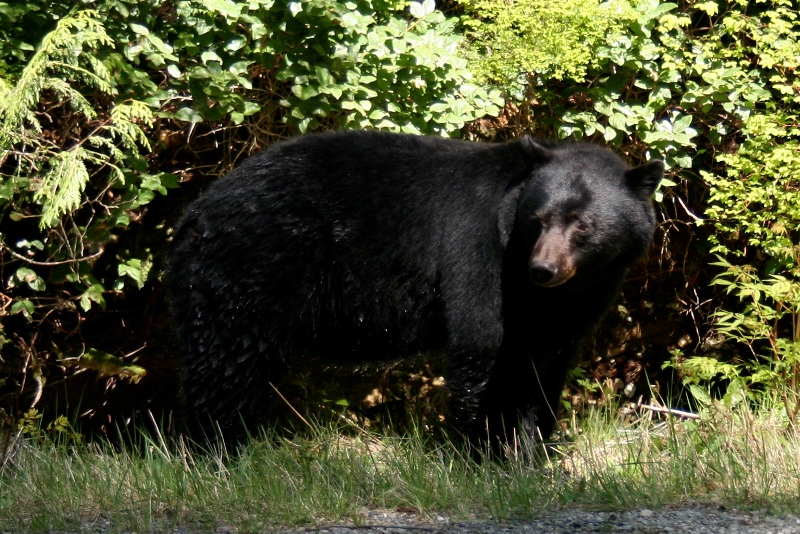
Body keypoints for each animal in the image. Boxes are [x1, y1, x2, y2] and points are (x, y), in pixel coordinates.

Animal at [167, 131, 664, 448]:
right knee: (228, 360)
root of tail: (192, 213)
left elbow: (546, 364)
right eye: (537, 220)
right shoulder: (481, 252)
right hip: (250, 269)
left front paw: (533, 449)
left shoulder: (583, 297)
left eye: (582, 226)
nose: (542, 269)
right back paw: (220, 449)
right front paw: (488, 452)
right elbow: (485, 345)